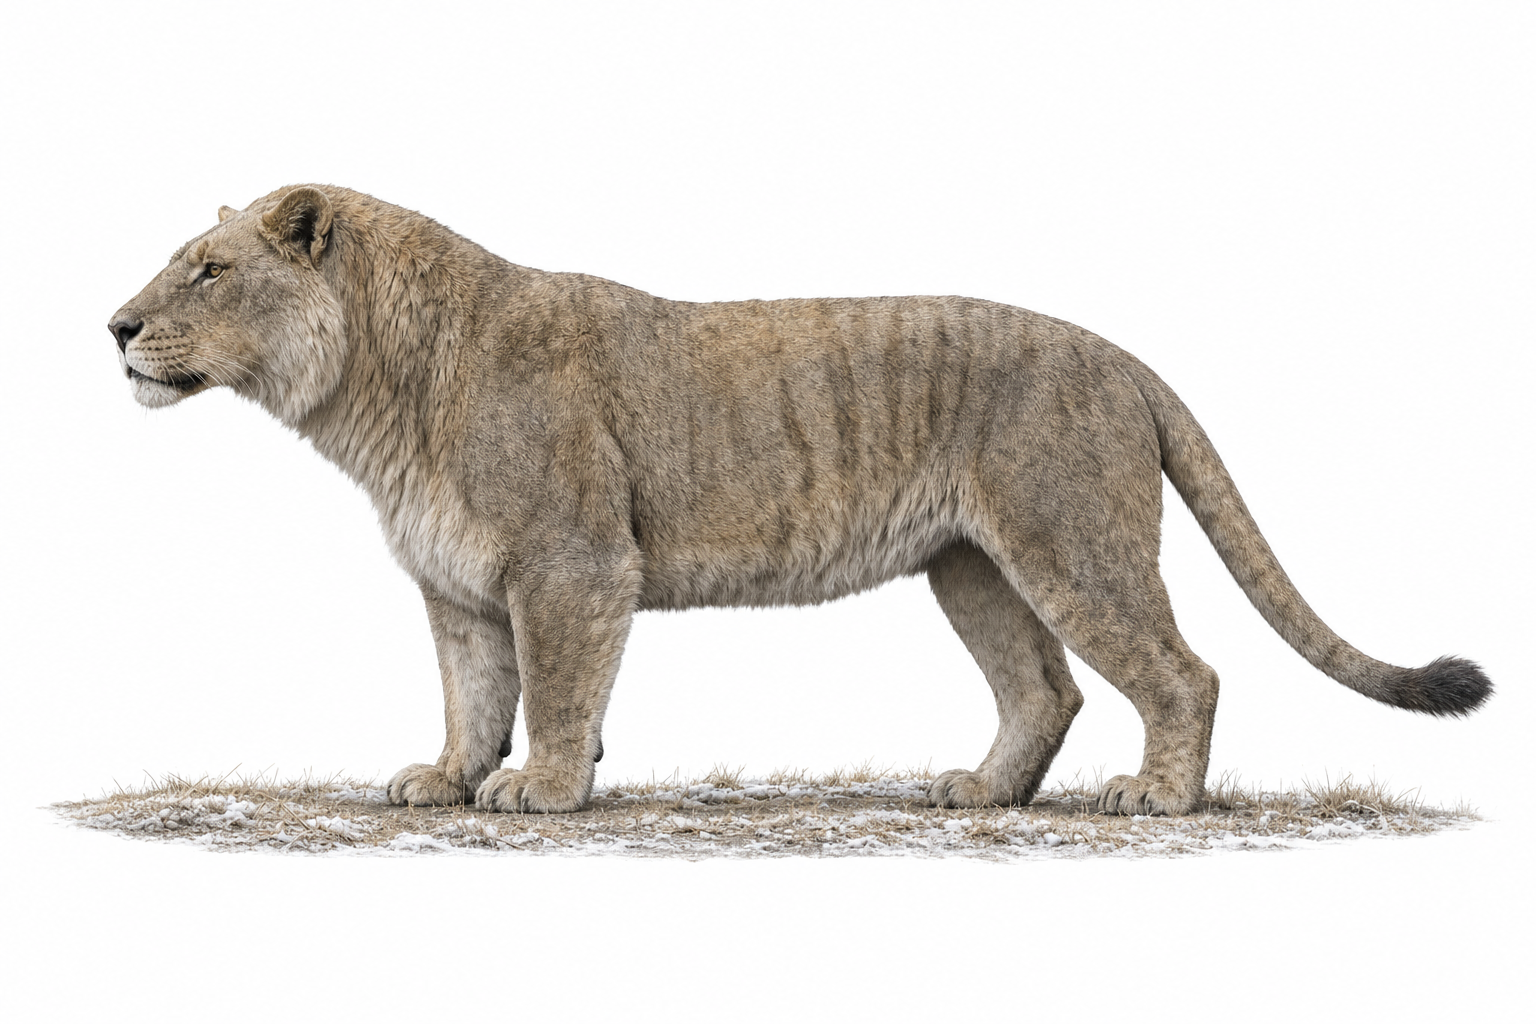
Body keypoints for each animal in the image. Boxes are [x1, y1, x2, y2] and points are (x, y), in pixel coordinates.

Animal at [108, 184, 1491, 816]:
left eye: (209, 270)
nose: (115, 326)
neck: (377, 400)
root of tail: (1122, 357)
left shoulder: (572, 564)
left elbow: (552, 689)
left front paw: (542, 788)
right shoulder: (460, 586)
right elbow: (473, 691)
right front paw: (446, 777)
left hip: (1070, 541)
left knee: (1181, 672)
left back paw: (1157, 798)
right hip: (972, 565)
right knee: (1046, 688)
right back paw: (980, 792)